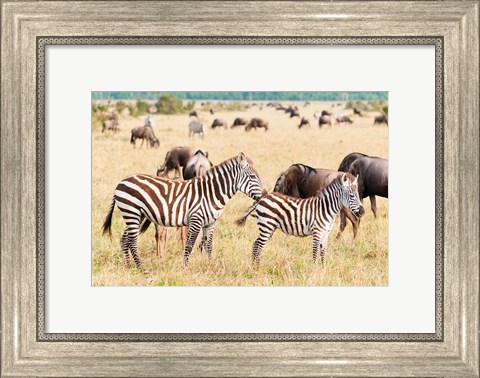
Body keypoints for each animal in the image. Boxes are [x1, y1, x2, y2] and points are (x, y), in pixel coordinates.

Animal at [102, 152, 266, 268]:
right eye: (253, 177)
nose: (265, 194)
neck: (210, 193)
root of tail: (121, 182)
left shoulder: (211, 223)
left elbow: (209, 246)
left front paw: (210, 265)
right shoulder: (196, 220)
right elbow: (189, 245)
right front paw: (185, 267)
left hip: (136, 215)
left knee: (124, 239)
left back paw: (128, 266)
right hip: (132, 212)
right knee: (132, 240)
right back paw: (140, 267)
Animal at [235, 173, 364, 268]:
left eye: (358, 195)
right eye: (352, 196)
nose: (362, 212)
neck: (325, 209)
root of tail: (262, 198)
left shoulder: (325, 233)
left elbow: (323, 252)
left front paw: (323, 269)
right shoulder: (317, 232)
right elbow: (315, 252)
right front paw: (314, 270)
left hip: (268, 227)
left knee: (255, 244)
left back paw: (254, 267)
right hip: (266, 226)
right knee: (258, 246)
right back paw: (257, 268)